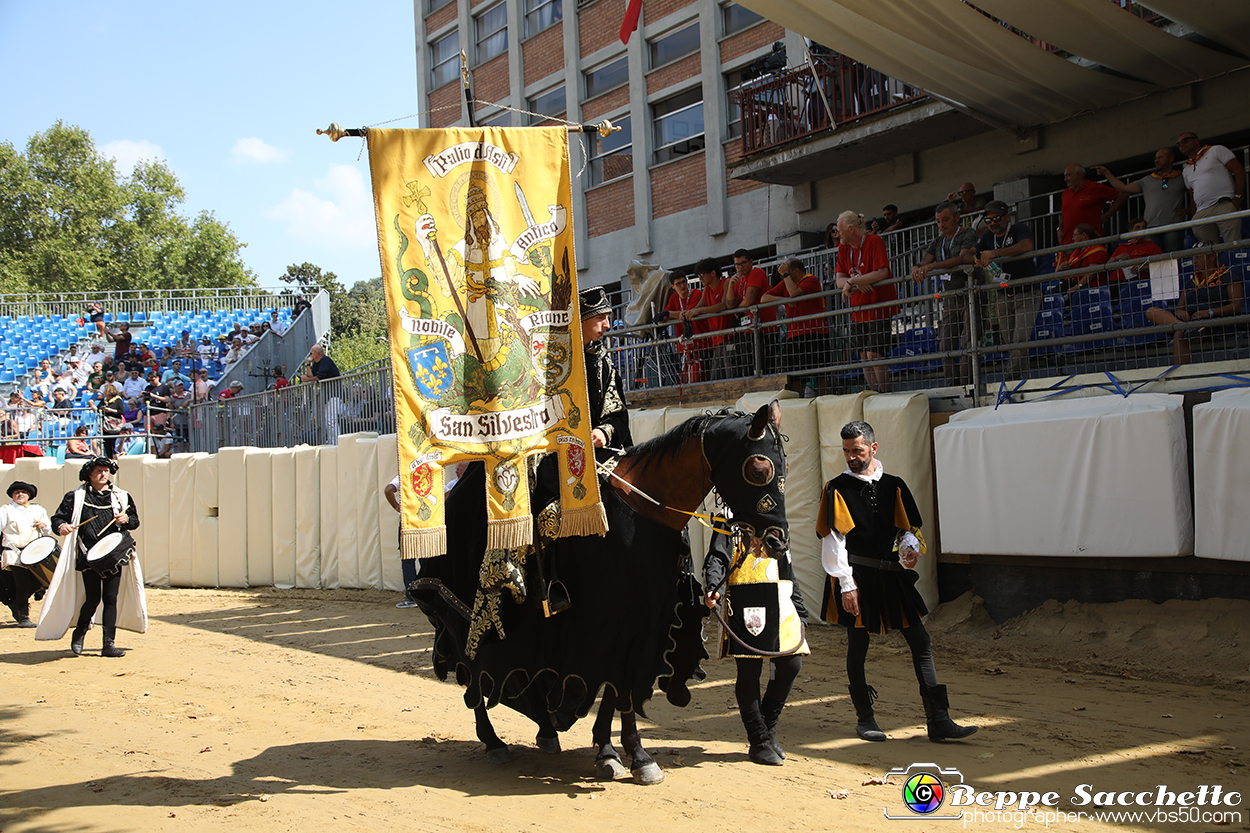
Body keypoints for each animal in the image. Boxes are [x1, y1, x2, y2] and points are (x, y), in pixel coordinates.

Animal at [417, 400, 790, 780]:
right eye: (759, 469)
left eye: (785, 466)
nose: (777, 541)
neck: (643, 512)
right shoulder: (610, 624)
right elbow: (616, 684)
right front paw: (626, 753)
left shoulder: (646, 622)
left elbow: (617, 689)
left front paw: (620, 753)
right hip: (463, 614)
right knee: (472, 668)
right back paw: (493, 741)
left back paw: (546, 731)